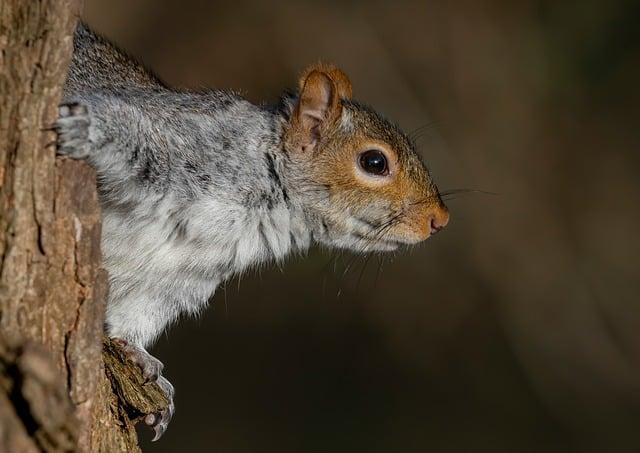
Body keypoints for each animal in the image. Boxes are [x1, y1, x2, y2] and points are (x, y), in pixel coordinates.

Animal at [58, 23, 450, 440]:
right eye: (374, 162)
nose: (439, 220)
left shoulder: (173, 282)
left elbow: (131, 320)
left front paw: (144, 363)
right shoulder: (177, 140)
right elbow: (117, 122)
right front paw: (84, 128)